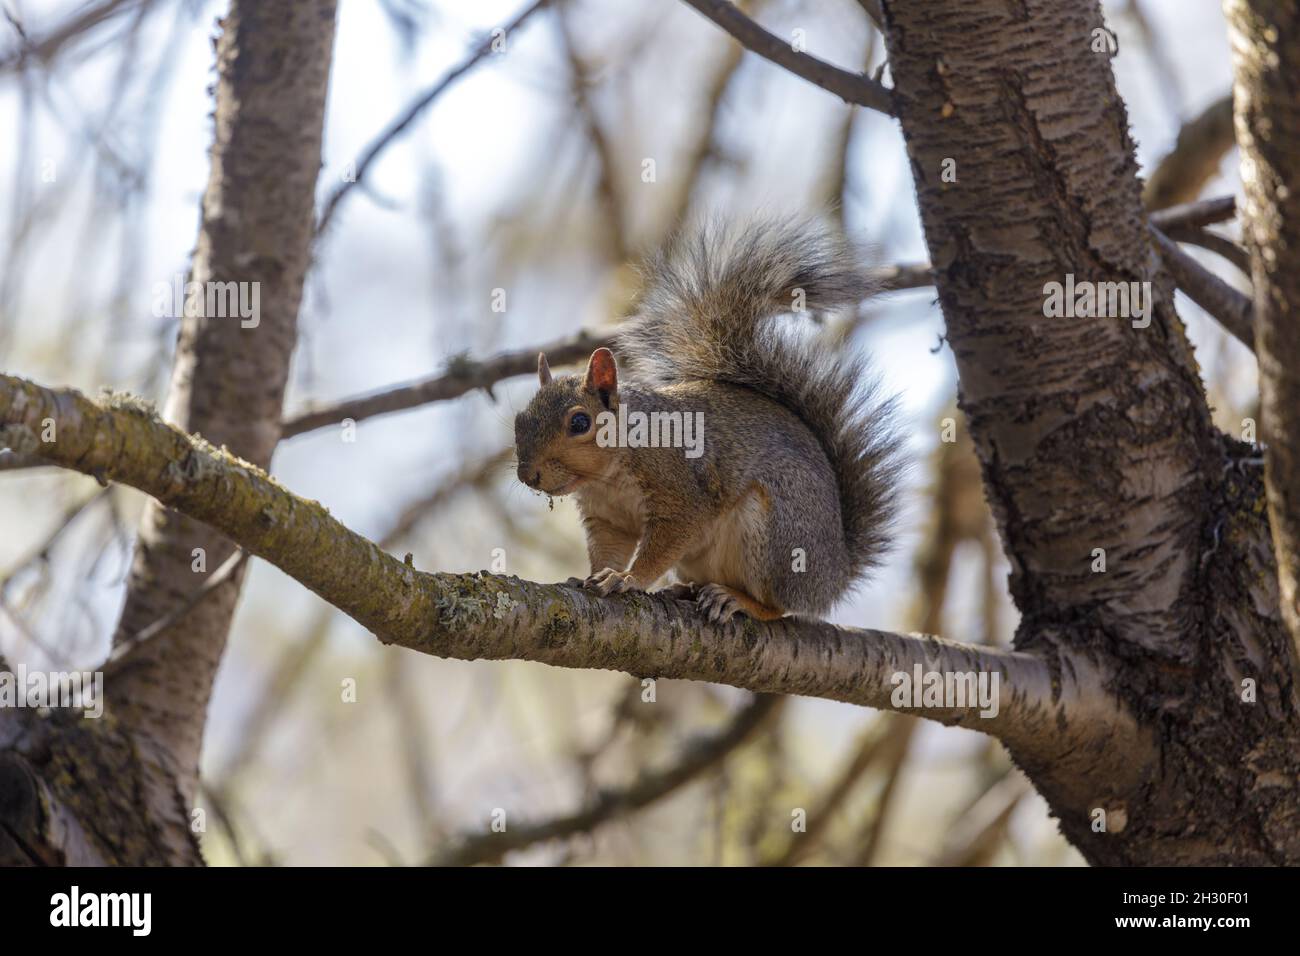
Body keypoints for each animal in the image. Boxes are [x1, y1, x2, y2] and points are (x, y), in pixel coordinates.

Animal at [513, 216, 902, 623]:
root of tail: (834, 576)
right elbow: (609, 548)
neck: (607, 475)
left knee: (777, 606)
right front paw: (593, 575)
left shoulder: (681, 488)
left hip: (779, 535)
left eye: (579, 423)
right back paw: (685, 589)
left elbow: (667, 540)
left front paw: (628, 578)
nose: (528, 475)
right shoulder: (607, 519)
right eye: (519, 420)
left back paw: (736, 599)